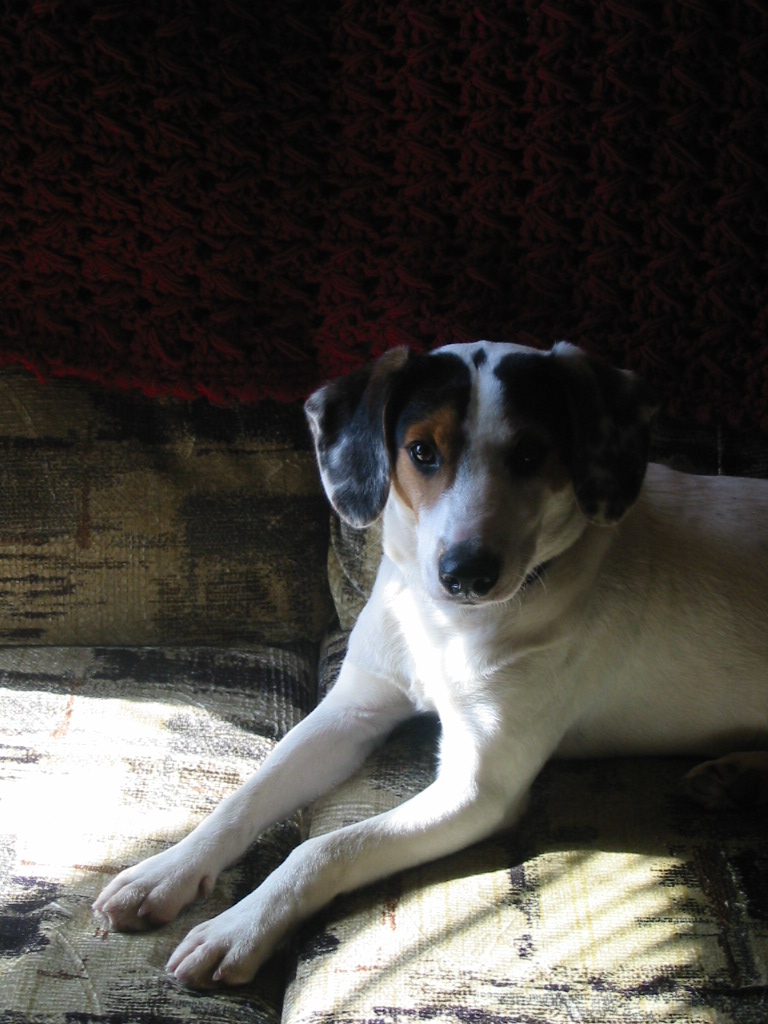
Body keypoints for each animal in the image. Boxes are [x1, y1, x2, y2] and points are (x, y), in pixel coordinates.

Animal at [93, 341, 768, 988]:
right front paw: (167, 869)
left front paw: (239, 926)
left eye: (531, 454)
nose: (467, 572)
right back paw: (734, 777)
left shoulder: (476, 789)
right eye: (422, 451)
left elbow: (325, 848)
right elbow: (247, 794)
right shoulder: (353, 708)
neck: (445, 624)